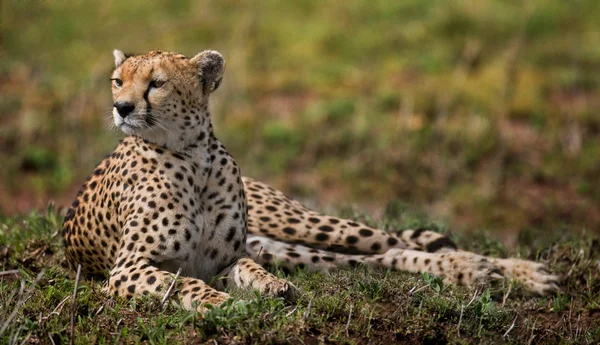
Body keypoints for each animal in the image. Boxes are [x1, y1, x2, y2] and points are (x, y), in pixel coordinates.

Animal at [62, 50, 556, 312]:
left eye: (157, 83)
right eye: (117, 81)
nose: (122, 108)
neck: (192, 155)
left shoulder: (227, 259)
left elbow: (246, 271)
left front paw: (268, 288)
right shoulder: (128, 269)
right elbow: (182, 283)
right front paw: (223, 303)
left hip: (302, 226)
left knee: (393, 242)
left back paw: (507, 270)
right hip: (292, 248)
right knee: (381, 258)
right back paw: (478, 271)